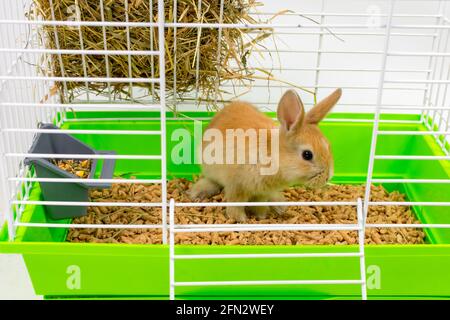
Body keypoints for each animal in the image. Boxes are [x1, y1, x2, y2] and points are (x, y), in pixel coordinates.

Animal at [188, 88, 342, 222]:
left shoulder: (262, 193)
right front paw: (240, 219)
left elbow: (259, 204)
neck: (273, 156)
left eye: (328, 146)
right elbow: (235, 204)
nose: (328, 177)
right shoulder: (236, 187)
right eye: (307, 155)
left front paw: (261, 216)